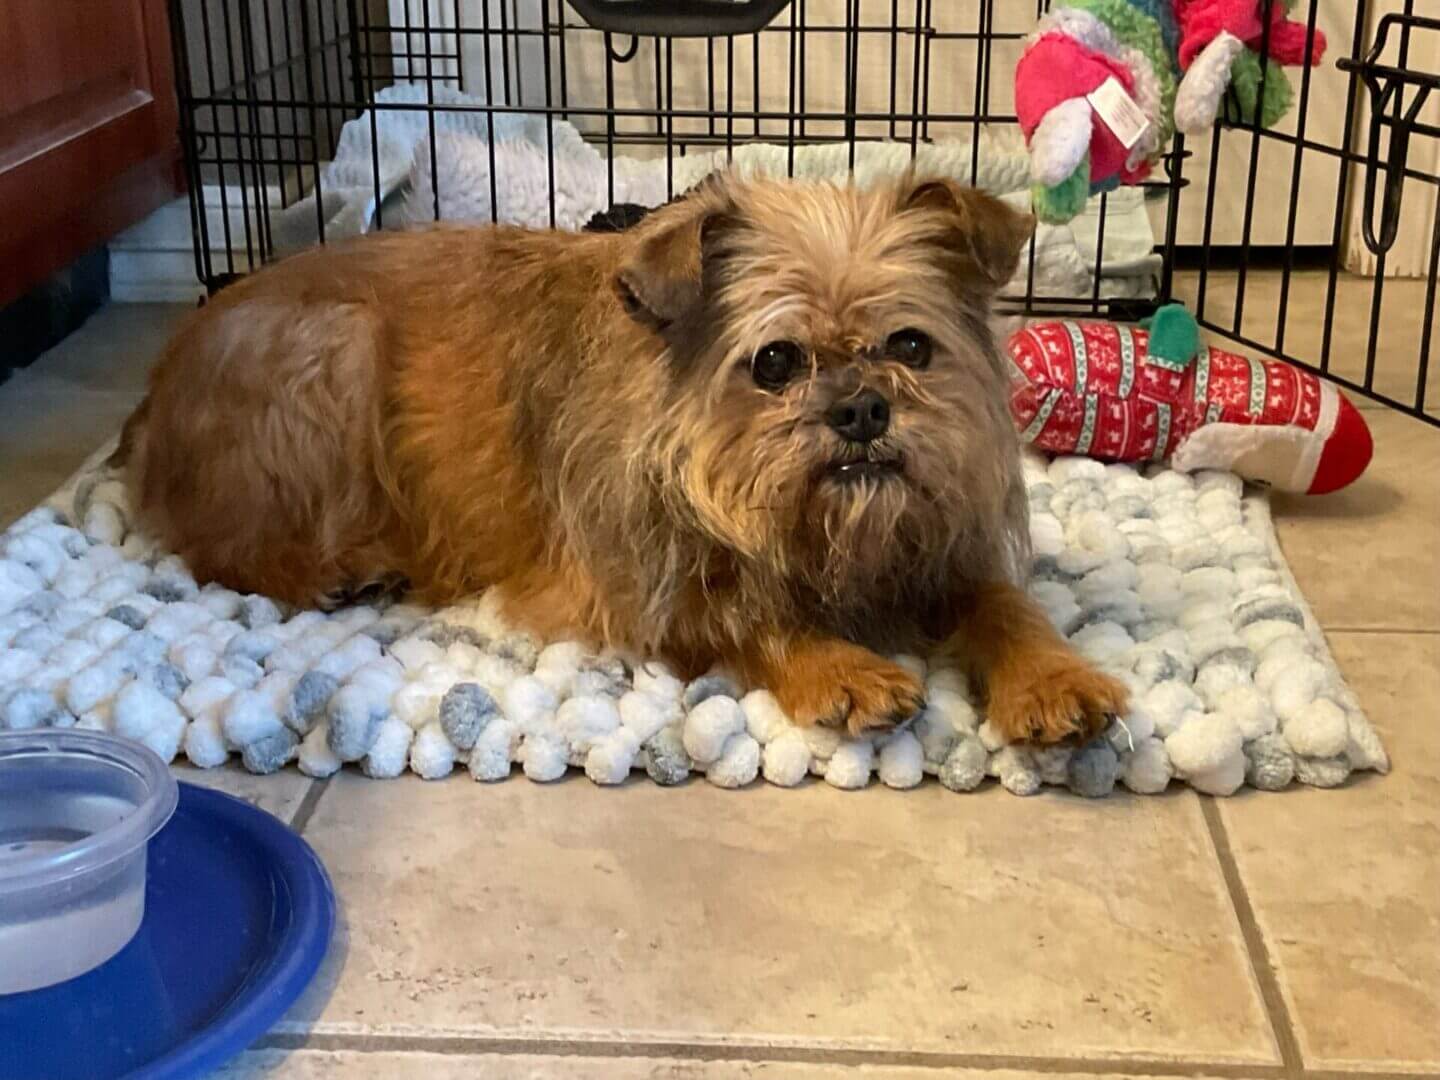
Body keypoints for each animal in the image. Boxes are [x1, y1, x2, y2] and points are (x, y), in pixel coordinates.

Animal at [118, 173, 1126, 744]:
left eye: (912, 348)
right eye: (775, 363)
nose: (861, 408)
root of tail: (160, 376)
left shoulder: (937, 549)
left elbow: (1005, 604)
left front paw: (1054, 674)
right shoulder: (635, 587)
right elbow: (743, 615)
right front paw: (838, 666)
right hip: (337, 349)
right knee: (214, 545)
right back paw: (333, 572)